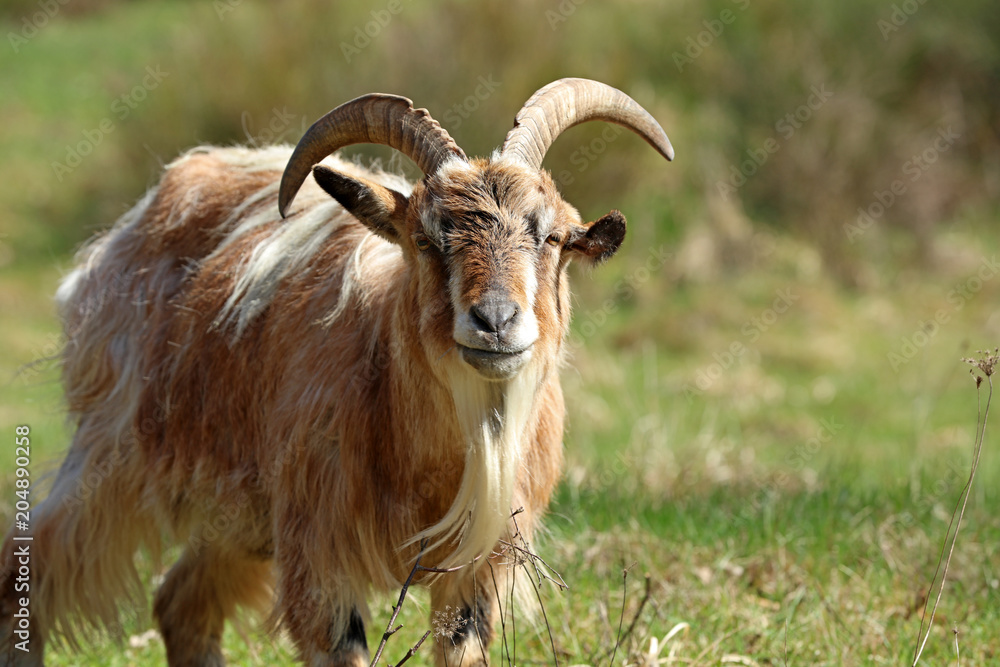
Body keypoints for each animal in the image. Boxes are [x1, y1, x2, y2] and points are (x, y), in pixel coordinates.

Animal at [0, 78, 672, 667]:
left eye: (553, 237)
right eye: (425, 240)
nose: (496, 321)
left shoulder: (474, 571)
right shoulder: (319, 556)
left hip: (241, 515)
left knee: (179, 604)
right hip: (115, 455)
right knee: (28, 563)